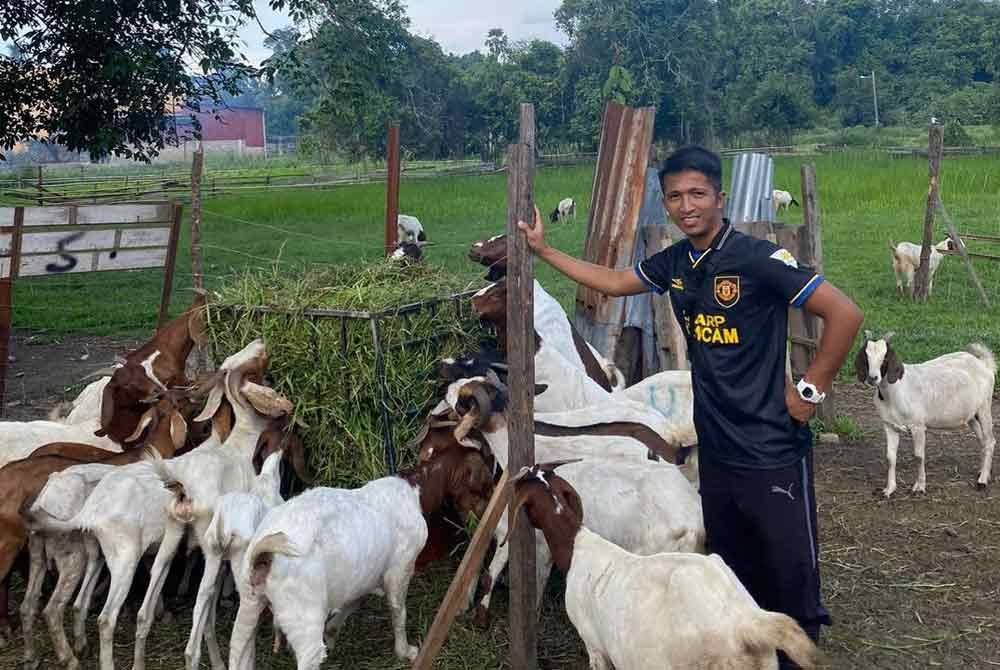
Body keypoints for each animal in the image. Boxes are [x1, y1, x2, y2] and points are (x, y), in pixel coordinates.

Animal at [226, 446, 492, 670]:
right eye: (484, 484)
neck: (416, 489)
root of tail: (264, 554)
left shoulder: (361, 576)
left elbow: (354, 602)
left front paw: (332, 633)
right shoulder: (400, 568)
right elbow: (398, 611)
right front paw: (405, 651)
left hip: (250, 601)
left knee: (237, 650)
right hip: (302, 615)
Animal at [856, 334, 996, 498]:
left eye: (885, 358)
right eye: (866, 356)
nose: (872, 378)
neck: (897, 390)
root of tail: (984, 364)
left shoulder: (918, 426)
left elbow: (919, 456)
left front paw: (919, 486)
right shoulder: (889, 426)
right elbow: (890, 458)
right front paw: (889, 489)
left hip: (984, 406)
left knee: (990, 440)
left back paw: (982, 481)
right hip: (971, 414)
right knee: (982, 440)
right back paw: (983, 472)